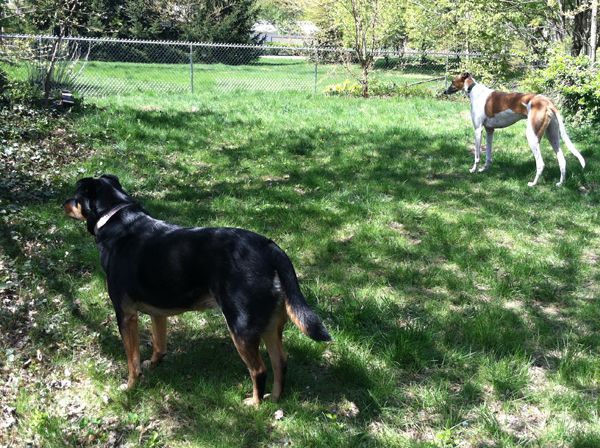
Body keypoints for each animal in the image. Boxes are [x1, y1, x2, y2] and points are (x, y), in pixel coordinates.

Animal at [64, 175, 332, 406]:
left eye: (75, 196)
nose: (63, 203)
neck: (115, 218)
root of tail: (270, 247)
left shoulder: (125, 314)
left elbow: (132, 361)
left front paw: (130, 386)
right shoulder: (157, 312)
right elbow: (159, 344)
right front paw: (154, 364)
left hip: (241, 326)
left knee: (259, 369)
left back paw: (255, 404)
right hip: (269, 324)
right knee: (280, 363)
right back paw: (274, 399)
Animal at [442, 72, 584, 185]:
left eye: (452, 81)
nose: (444, 92)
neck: (474, 90)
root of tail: (547, 102)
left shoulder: (478, 130)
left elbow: (477, 156)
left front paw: (474, 170)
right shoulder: (489, 131)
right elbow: (488, 155)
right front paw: (485, 169)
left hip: (532, 136)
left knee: (541, 164)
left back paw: (533, 183)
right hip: (552, 136)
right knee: (562, 161)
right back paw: (560, 183)